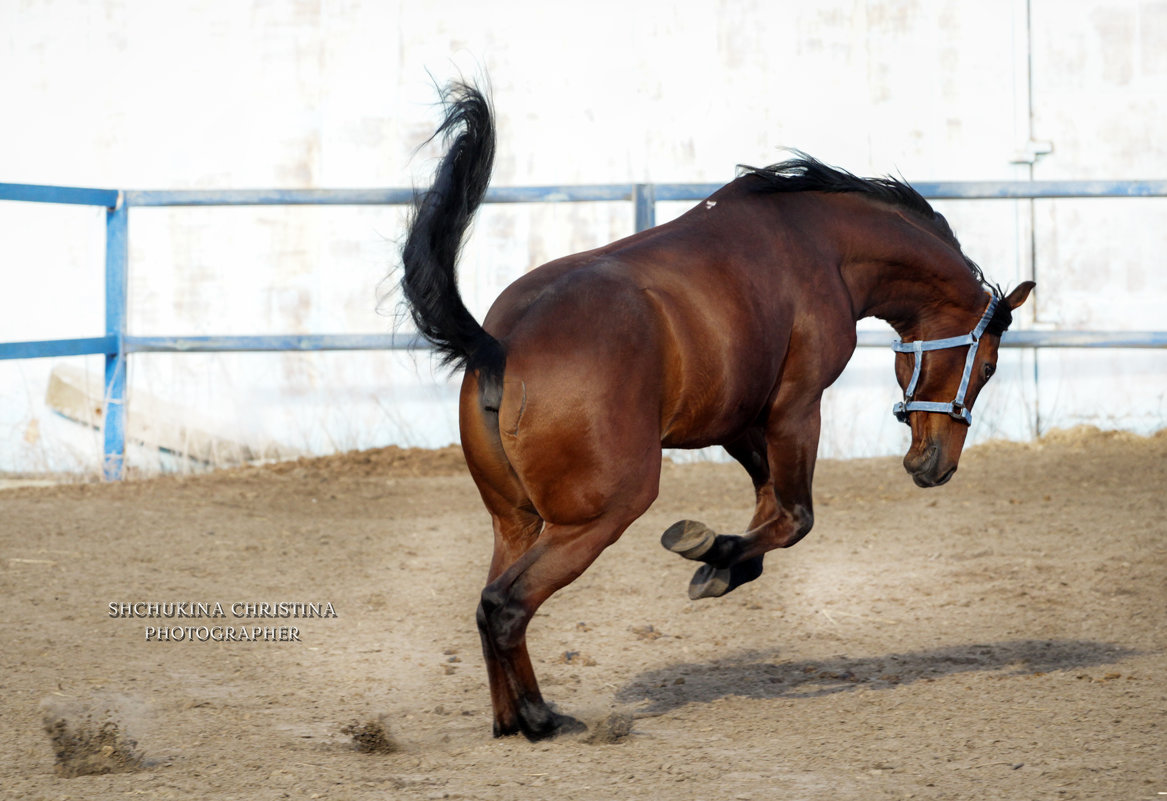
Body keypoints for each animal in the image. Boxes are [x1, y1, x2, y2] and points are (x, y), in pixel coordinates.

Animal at [399, 81, 1031, 742]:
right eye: (989, 367)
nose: (935, 467)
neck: (821, 244)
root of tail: (497, 343)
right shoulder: (794, 409)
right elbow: (795, 518)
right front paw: (710, 553)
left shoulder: (738, 420)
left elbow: (770, 514)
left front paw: (718, 560)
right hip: (602, 513)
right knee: (506, 604)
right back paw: (540, 718)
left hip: (515, 520)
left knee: (487, 599)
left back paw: (507, 718)